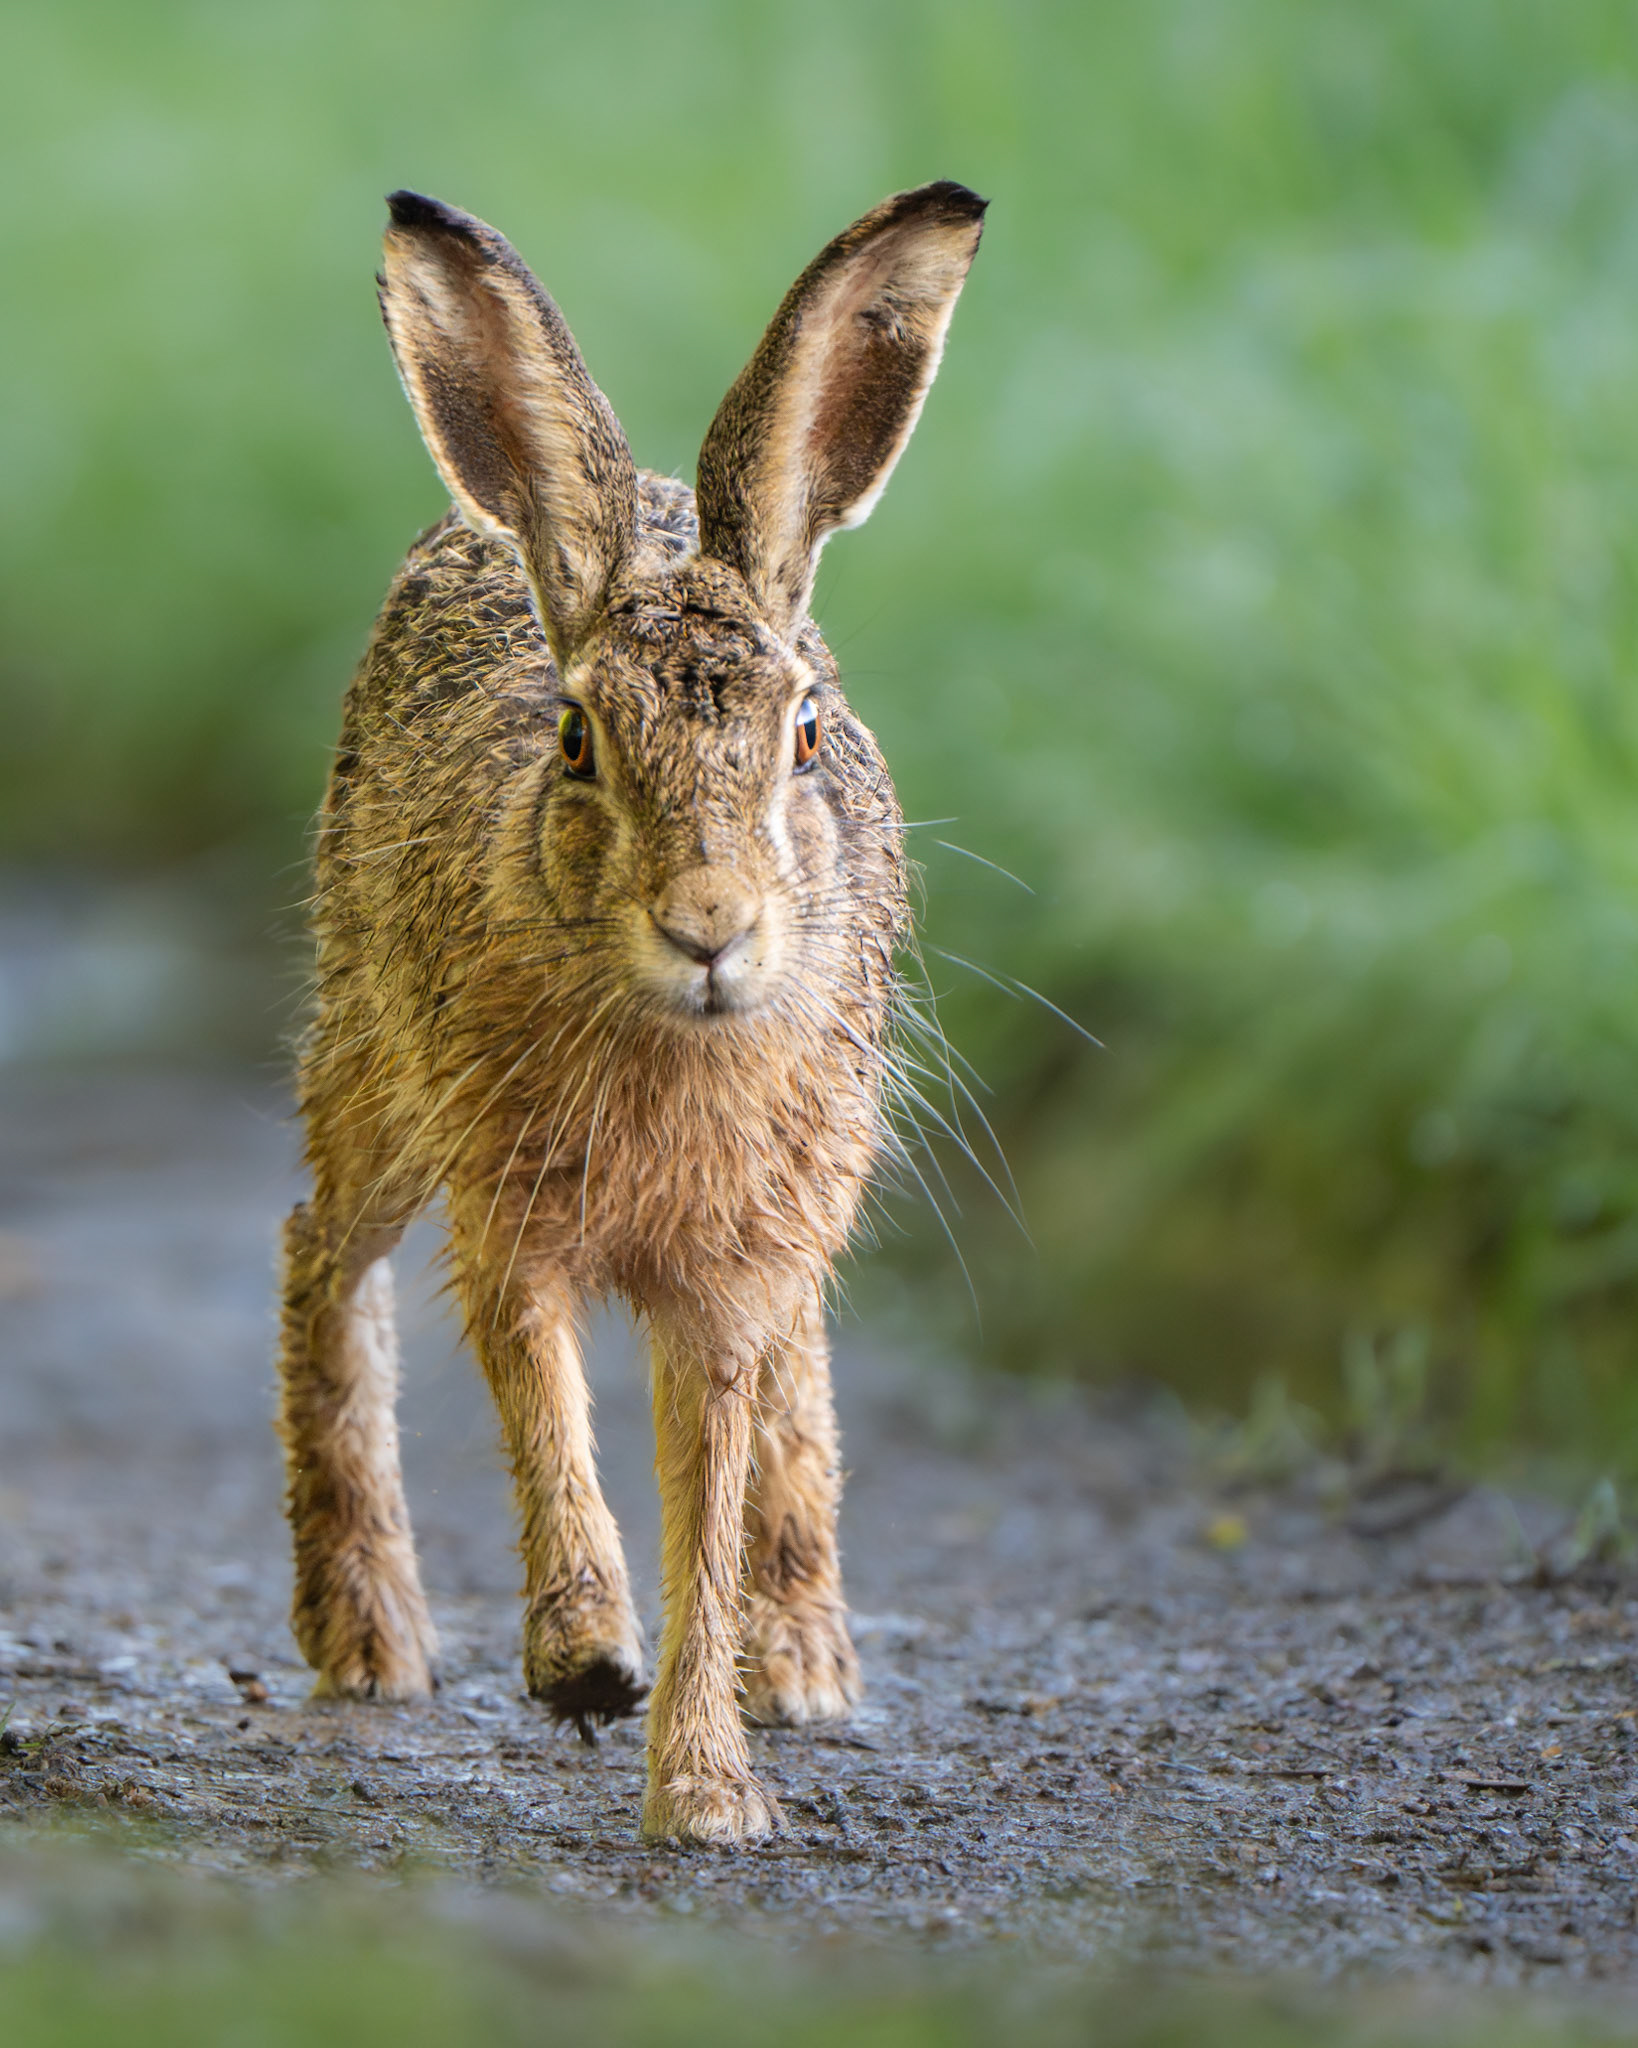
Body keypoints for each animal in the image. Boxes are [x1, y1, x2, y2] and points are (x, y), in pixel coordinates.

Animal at [276, 179, 986, 1844]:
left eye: (804, 735)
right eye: (578, 740)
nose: (709, 930)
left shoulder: (733, 1271)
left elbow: (706, 1500)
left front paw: (708, 1793)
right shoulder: (510, 1220)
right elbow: (545, 1414)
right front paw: (588, 1657)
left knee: (798, 1377)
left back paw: (806, 1661)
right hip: (374, 1065)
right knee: (322, 1254)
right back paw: (367, 1635)